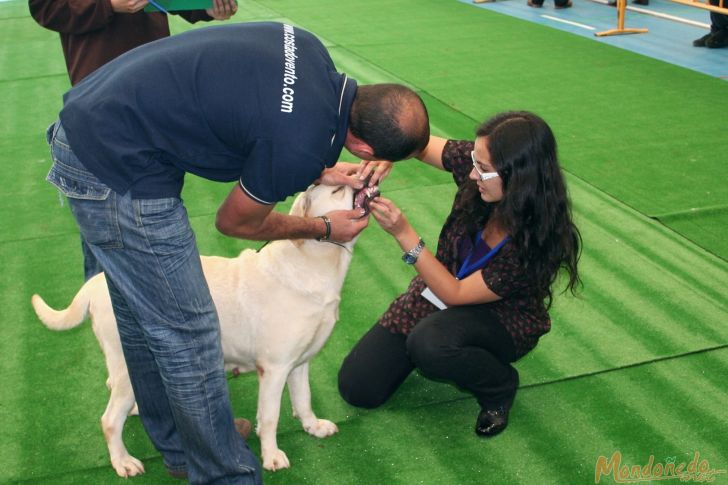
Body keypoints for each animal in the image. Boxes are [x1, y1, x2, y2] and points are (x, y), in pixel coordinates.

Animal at [33, 183, 364, 474]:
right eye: (338, 189)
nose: (361, 178)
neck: (313, 262)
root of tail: (95, 283)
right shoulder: (274, 368)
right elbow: (269, 417)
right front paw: (271, 456)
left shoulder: (299, 363)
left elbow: (303, 400)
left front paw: (313, 427)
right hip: (128, 361)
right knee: (110, 419)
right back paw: (123, 462)